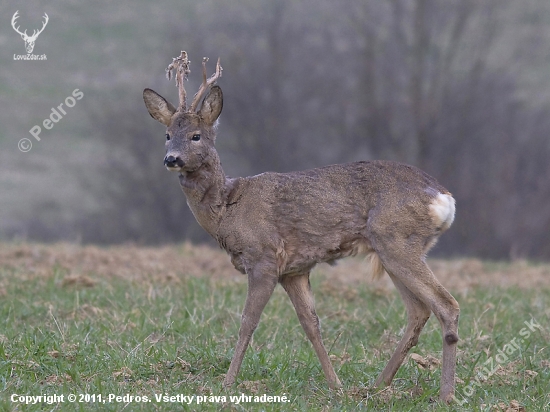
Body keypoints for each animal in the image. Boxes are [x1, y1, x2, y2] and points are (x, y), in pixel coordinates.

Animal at [143, 51, 462, 402]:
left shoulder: (264, 257)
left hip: (396, 239)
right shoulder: (294, 270)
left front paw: (228, 382)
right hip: (392, 249)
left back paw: (445, 395)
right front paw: (336, 385)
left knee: (446, 304)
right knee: (419, 310)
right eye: (167, 135)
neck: (228, 208)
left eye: (196, 135)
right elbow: (311, 324)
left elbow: (248, 321)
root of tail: (443, 198)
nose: (171, 159)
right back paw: (378, 385)